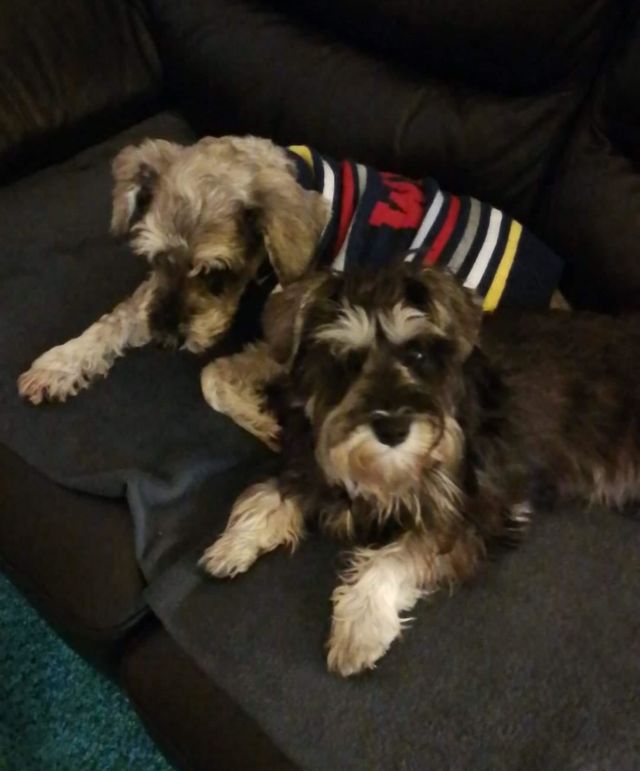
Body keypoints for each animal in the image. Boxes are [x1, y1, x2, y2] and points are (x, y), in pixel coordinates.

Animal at [17, 136, 566, 450]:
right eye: (153, 258)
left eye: (216, 274)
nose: (166, 339)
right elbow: (117, 318)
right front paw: (58, 363)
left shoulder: (294, 344)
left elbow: (213, 375)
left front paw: (258, 418)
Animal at [200, 262, 640, 676]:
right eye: (346, 362)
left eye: (418, 355)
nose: (393, 428)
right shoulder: (311, 468)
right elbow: (268, 496)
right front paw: (232, 545)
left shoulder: (473, 517)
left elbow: (395, 555)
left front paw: (360, 627)